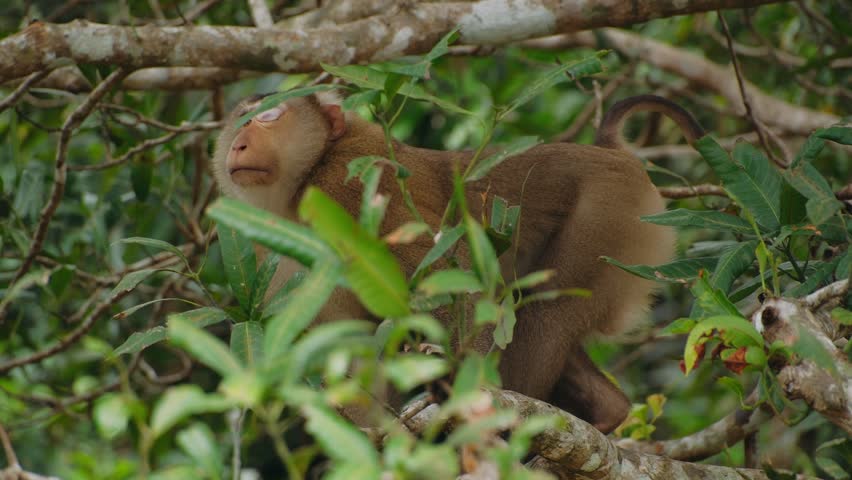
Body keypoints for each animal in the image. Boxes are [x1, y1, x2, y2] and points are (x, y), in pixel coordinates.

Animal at [211, 92, 704, 433]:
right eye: (239, 121)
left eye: (269, 116)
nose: (238, 144)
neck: (297, 191)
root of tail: (610, 153)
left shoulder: (352, 180)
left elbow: (449, 266)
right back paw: (609, 411)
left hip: (611, 215)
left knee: (546, 309)